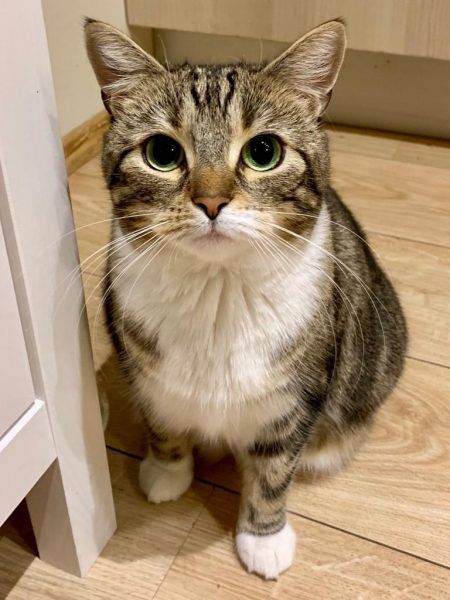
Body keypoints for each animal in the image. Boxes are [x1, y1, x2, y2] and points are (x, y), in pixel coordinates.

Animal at [85, 17, 407, 579]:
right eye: (162, 153)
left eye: (263, 152)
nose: (211, 201)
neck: (217, 294)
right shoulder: (143, 371)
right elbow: (163, 422)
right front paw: (167, 473)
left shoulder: (296, 397)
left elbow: (273, 471)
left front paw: (263, 538)